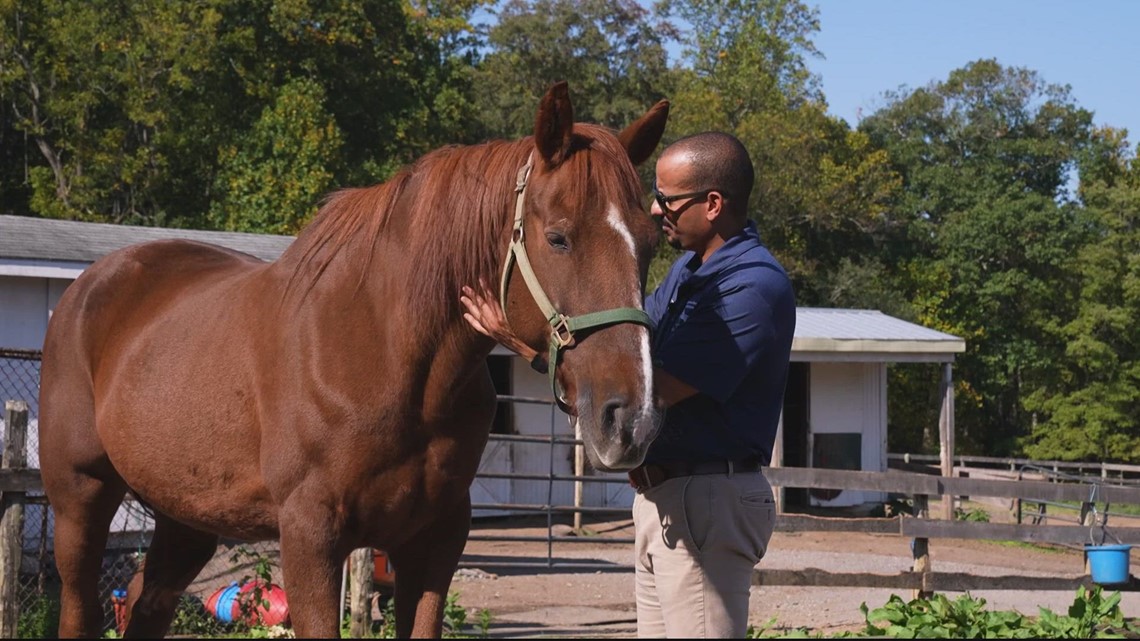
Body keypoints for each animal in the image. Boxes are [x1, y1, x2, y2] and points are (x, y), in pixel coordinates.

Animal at [37, 81, 669, 638]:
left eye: (649, 242)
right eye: (559, 237)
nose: (630, 420)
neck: (385, 353)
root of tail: (89, 288)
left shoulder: (435, 540)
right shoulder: (310, 537)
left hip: (184, 517)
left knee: (147, 604)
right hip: (79, 501)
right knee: (79, 610)